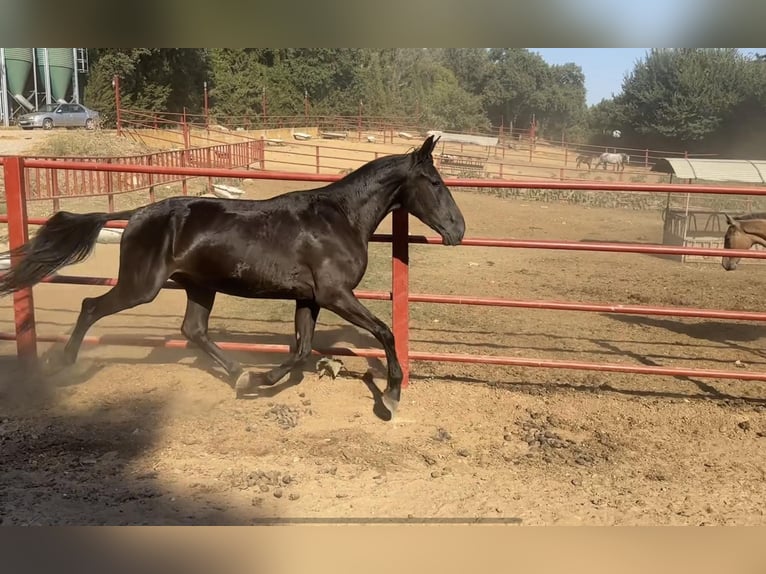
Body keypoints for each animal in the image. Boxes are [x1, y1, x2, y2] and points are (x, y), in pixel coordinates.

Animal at [0, 137, 468, 420]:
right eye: (433, 181)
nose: (458, 230)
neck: (339, 218)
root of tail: (136, 214)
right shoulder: (336, 294)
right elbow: (384, 331)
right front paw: (391, 397)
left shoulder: (310, 298)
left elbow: (301, 351)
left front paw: (260, 380)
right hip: (141, 286)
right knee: (91, 306)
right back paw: (64, 364)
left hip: (199, 287)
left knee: (193, 330)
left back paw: (239, 373)